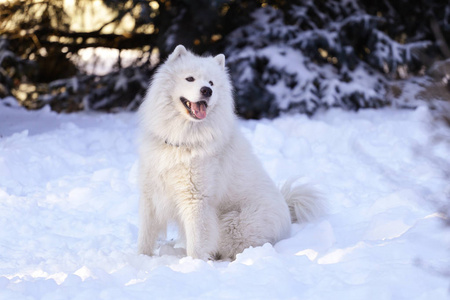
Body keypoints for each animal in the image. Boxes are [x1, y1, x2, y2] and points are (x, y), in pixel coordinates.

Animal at [139, 45, 322, 260]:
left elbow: (197, 244)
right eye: (190, 78)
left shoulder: (195, 200)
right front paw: (140, 259)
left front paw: (193, 265)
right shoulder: (150, 193)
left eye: (211, 83)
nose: (207, 90)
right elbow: (145, 236)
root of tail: (288, 214)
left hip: (232, 225)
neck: (182, 140)